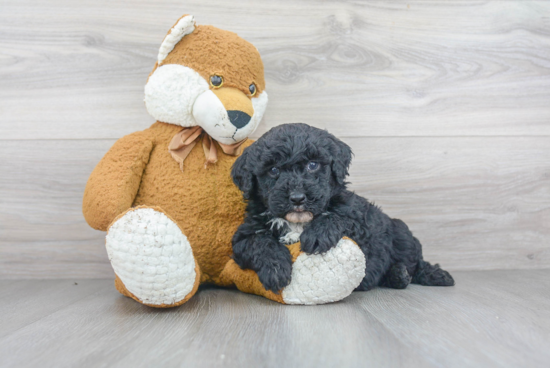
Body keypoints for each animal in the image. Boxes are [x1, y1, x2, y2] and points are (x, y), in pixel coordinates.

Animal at [231, 123, 454, 294]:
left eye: (313, 165)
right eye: (274, 170)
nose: (297, 198)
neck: (298, 222)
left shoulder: (361, 221)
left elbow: (338, 217)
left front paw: (317, 235)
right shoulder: (244, 236)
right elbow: (260, 243)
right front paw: (276, 270)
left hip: (402, 233)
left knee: (416, 262)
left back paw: (432, 275)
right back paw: (398, 275)